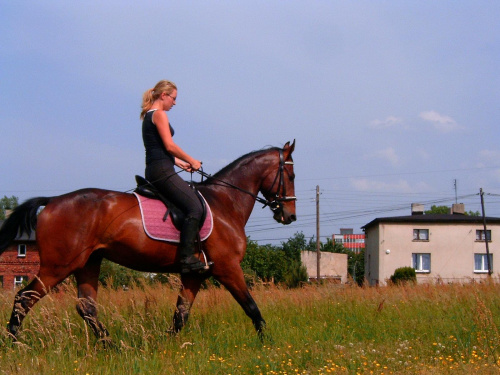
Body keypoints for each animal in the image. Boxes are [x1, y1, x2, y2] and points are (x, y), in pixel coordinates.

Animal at [0, 141, 294, 344]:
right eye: (290, 176)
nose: (289, 215)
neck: (225, 203)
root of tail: (52, 201)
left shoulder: (195, 275)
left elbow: (181, 315)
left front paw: (167, 345)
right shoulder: (228, 267)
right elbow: (251, 306)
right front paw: (268, 344)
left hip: (88, 263)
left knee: (86, 308)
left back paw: (112, 346)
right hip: (58, 266)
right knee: (24, 298)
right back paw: (14, 343)